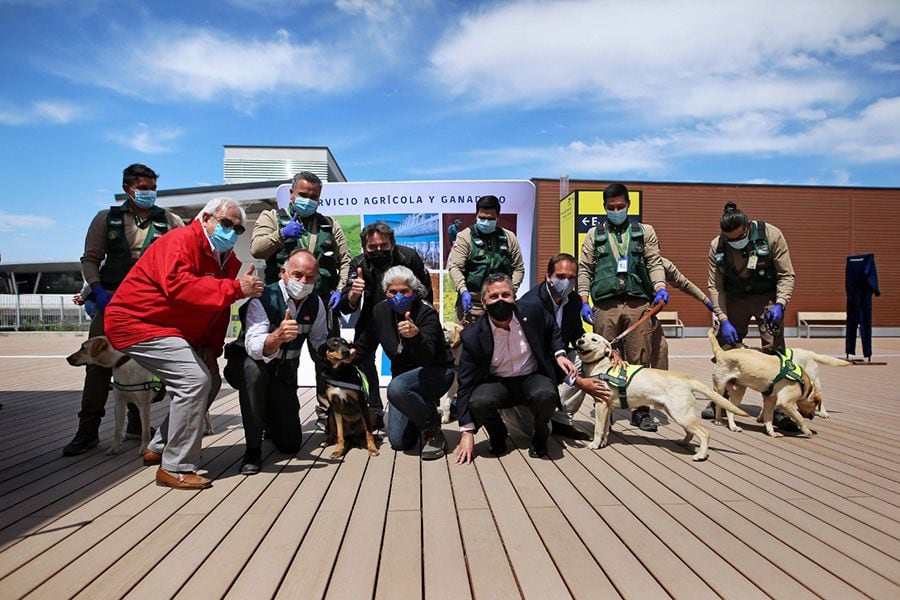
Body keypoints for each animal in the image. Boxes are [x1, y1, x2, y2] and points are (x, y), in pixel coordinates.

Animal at [572, 332, 748, 460]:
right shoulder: (607, 407)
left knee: (704, 434)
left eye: (594, 339)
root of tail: (688, 379)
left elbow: (598, 428)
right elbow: (605, 429)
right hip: (678, 413)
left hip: (681, 414)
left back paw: (701, 455)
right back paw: (683, 442)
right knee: (691, 432)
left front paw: (594, 444)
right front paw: (603, 443)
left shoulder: (601, 405)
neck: (601, 364)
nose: (579, 341)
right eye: (583, 335)